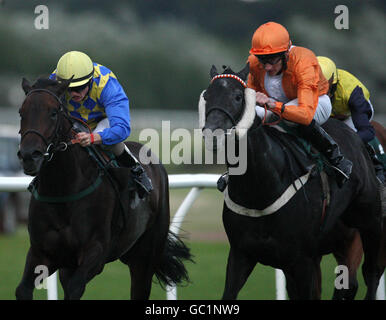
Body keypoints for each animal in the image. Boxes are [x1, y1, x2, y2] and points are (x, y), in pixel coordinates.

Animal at [16, 77, 191, 300]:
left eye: (53, 112)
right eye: (22, 112)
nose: (29, 155)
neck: (63, 190)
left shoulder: (96, 252)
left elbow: (75, 287)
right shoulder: (42, 253)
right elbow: (23, 289)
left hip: (144, 257)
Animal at [201, 63, 384, 298]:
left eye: (238, 97)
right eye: (207, 96)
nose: (213, 135)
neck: (258, 189)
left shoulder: (302, 260)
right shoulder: (241, 254)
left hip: (370, 223)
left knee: (371, 273)